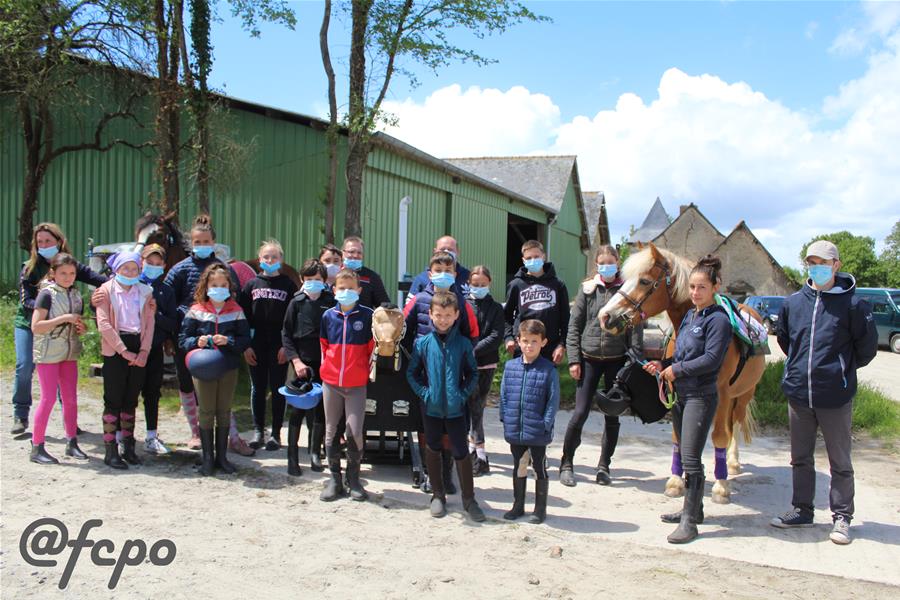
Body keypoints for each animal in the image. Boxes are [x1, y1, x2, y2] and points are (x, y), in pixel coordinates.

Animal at [597, 243, 766, 504]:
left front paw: (721, 487)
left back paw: (732, 462)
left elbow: (719, 435)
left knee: (735, 424)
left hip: (743, 393)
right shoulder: (674, 389)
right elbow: (679, 436)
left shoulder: (721, 394)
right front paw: (676, 482)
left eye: (644, 281)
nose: (605, 316)